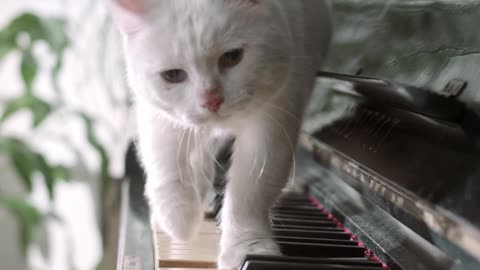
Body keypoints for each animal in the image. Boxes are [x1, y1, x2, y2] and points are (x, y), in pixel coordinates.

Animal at [109, 0, 330, 268]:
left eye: (232, 57)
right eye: (173, 75)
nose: (211, 100)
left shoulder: (274, 121)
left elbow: (250, 192)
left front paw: (248, 249)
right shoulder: (159, 115)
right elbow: (166, 164)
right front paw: (178, 221)